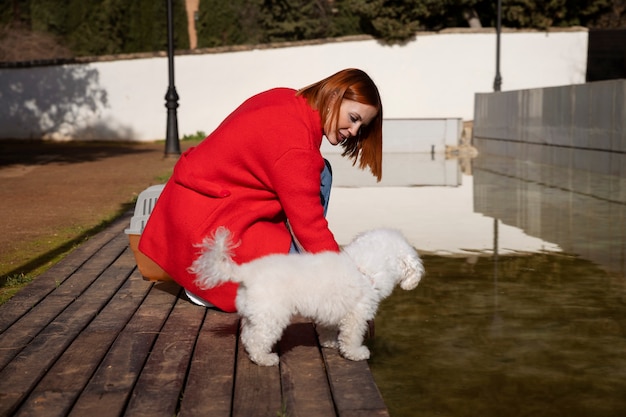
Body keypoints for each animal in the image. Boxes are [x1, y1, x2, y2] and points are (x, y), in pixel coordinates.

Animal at [189, 226, 424, 366]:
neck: (363, 267)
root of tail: (246, 272)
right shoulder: (356, 316)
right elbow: (352, 337)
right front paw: (356, 353)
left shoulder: (331, 311)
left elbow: (328, 328)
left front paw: (329, 343)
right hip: (271, 317)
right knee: (257, 341)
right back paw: (265, 359)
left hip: (255, 314)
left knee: (248, 335)